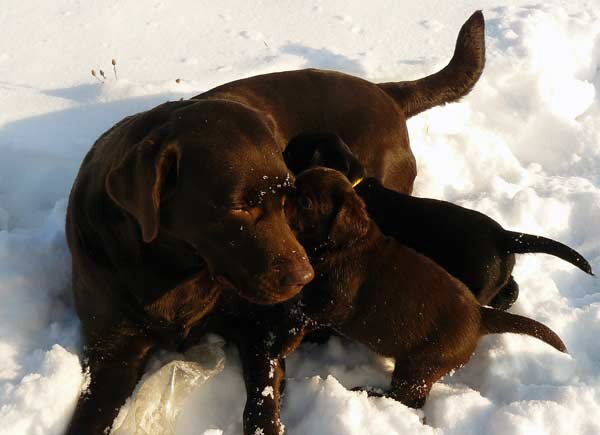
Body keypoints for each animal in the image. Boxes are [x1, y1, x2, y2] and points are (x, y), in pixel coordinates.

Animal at [278, 167, 568, 408]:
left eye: (305, 201)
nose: (281, 192)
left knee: (408, 400)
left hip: (418, 367)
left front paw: (284, 342)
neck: (342, 245)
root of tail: (480, 315)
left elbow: (302, 317)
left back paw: (368, 391)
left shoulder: (334, 302)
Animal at [284, 134, 592, 310]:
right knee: (511, 289)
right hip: (496, 277)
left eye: (293, 151)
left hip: (475, 280)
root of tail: (504, 236)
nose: (281, 152)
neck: (355, 183)